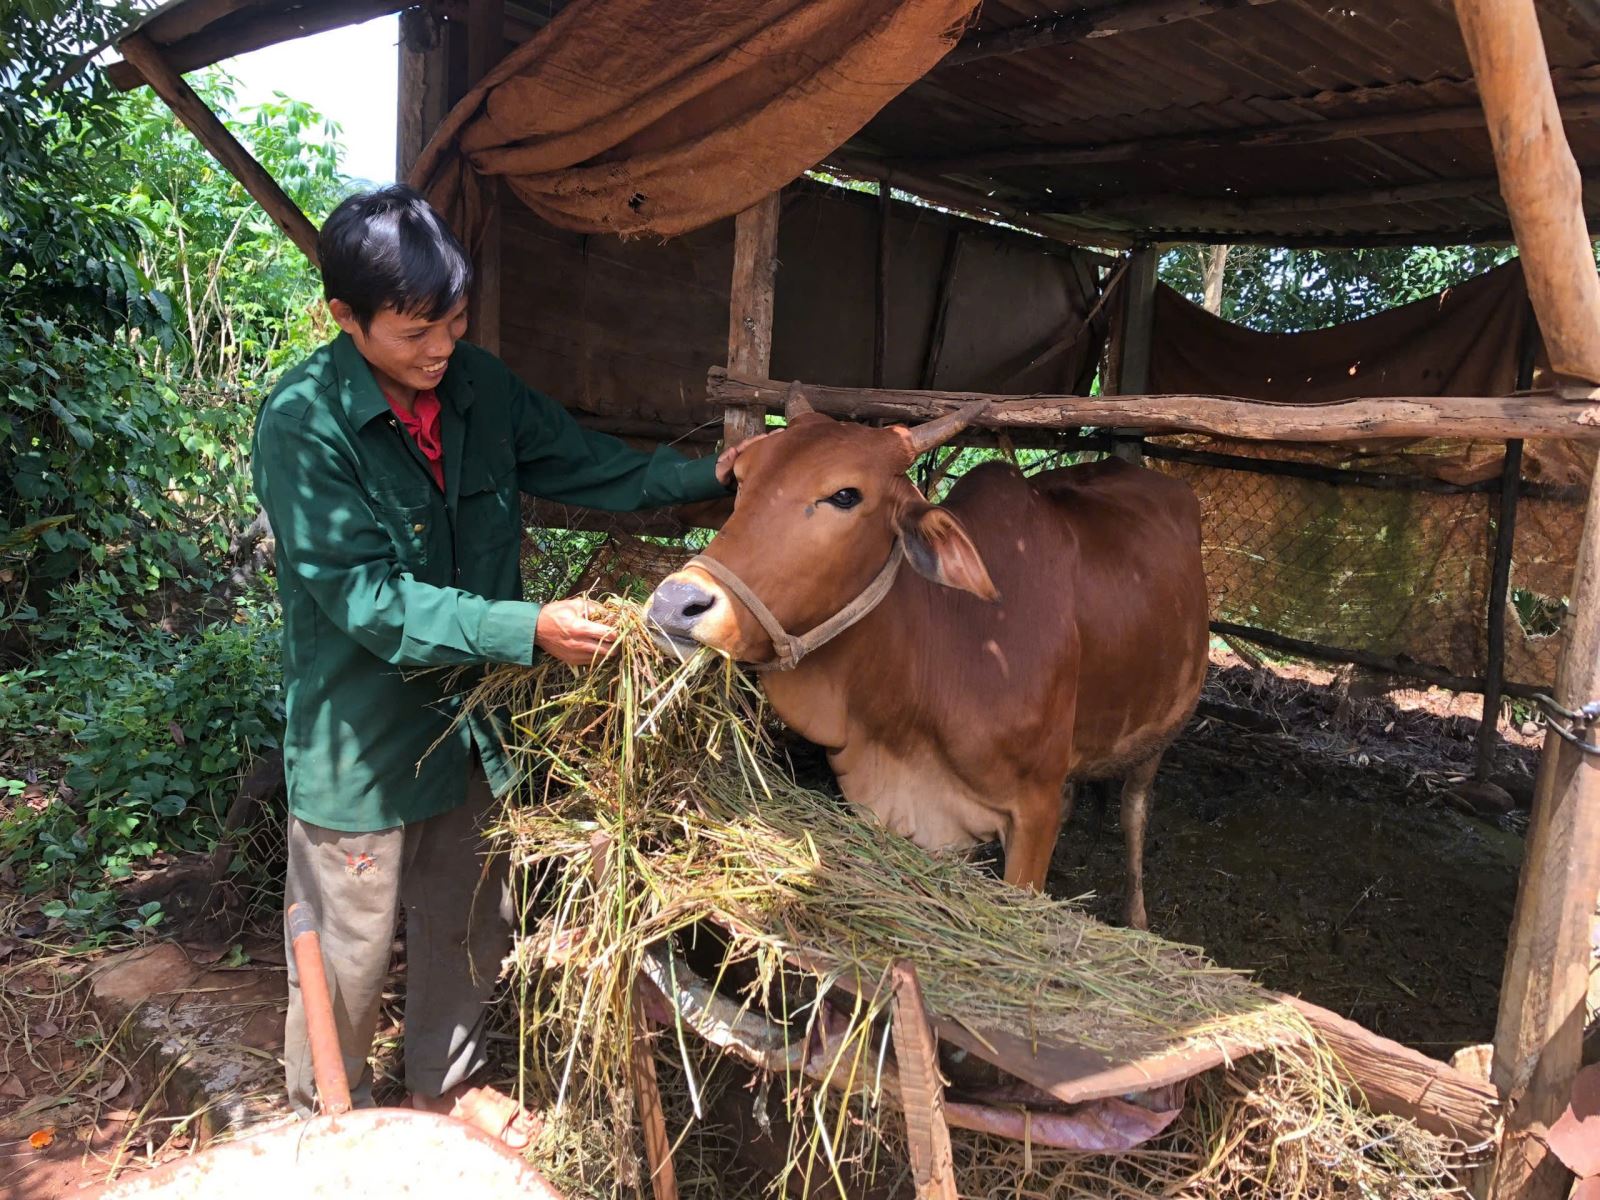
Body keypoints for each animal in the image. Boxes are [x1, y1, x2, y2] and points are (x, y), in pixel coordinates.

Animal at [643, 396, 1203, 928]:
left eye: (845, 495)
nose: (675, 603)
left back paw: (1136, 917)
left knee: (1135, 810)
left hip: (1159, 729)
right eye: (740, 479)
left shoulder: (1034, 810)